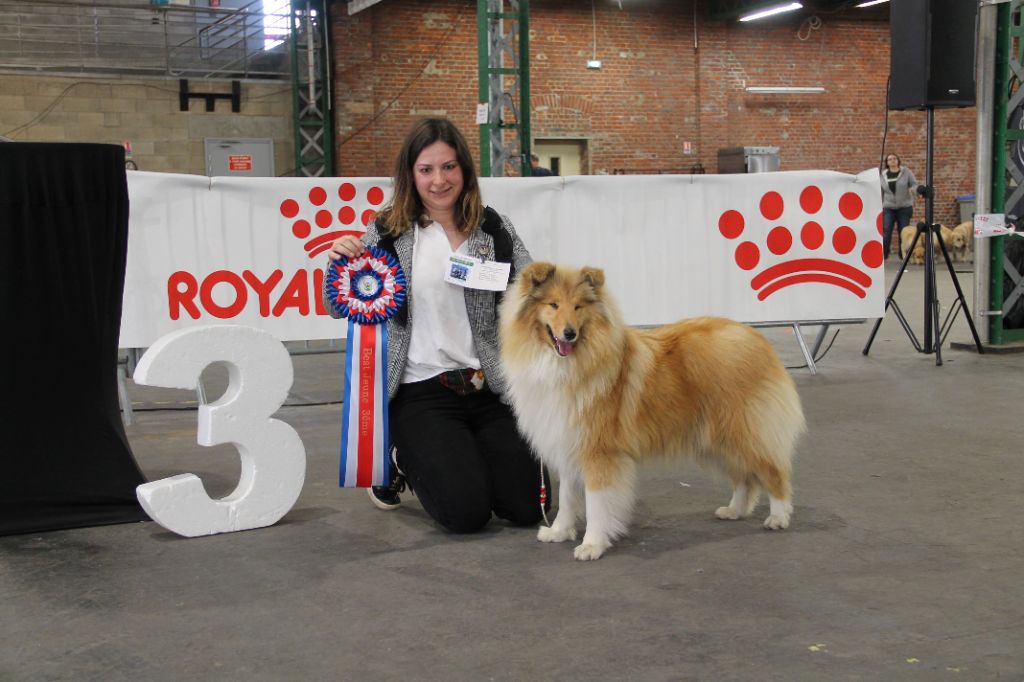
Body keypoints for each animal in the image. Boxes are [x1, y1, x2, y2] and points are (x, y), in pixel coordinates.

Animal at [497, 260, 806, 557]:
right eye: (553, 305)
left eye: (578, 307)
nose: (569, 334)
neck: (567, 363)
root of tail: (756, 337)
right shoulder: (569, 443)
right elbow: (568, 498)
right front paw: (559, 532)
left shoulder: (598, 452)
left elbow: (596, 503)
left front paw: (592, 545)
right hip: (717, 440)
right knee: (744, 478)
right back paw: (734, 511)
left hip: (743, 432)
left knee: (774, 473)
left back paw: (778, 518)